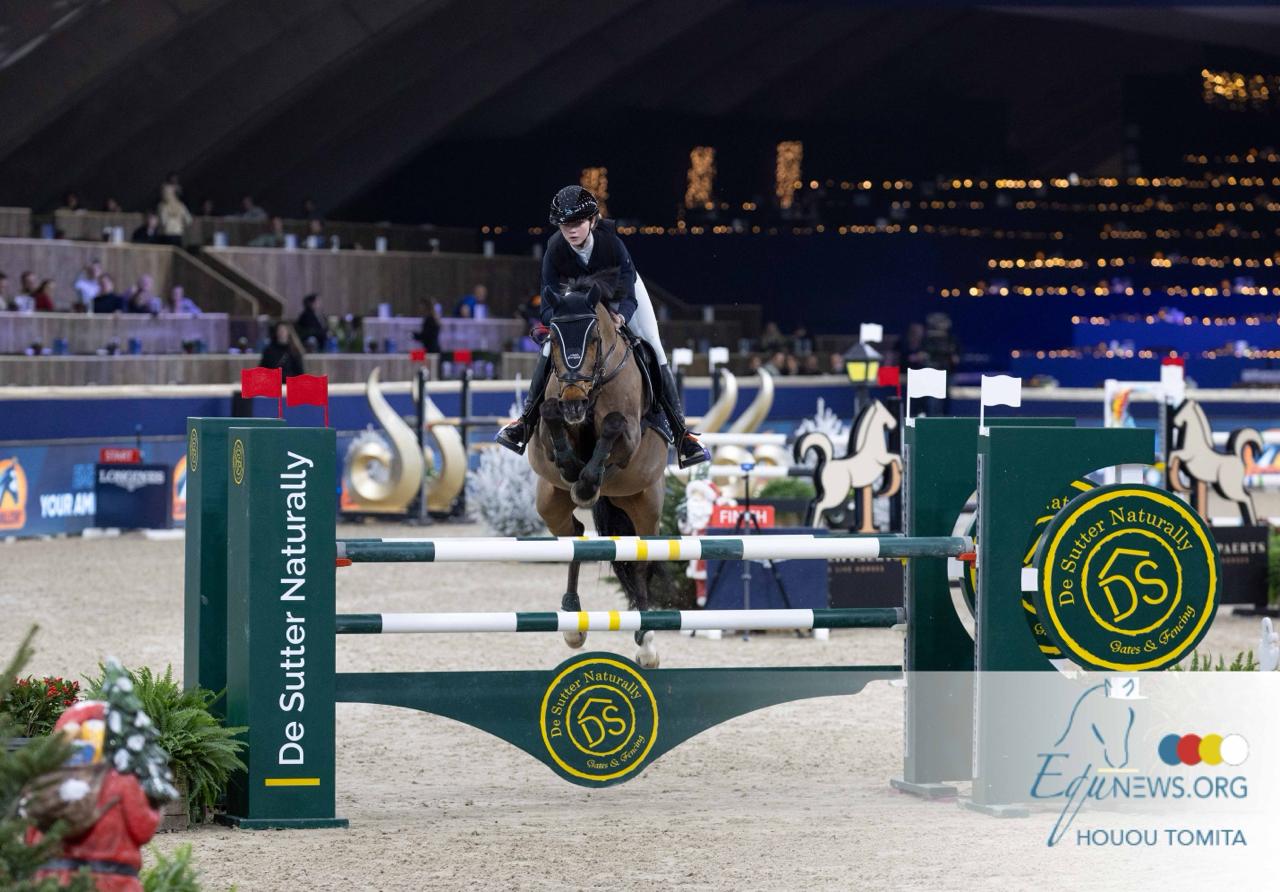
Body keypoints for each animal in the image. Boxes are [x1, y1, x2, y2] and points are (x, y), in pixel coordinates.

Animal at [527, 272, 671, 667]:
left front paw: (587, 483)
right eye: (552, 338)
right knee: (574, 537)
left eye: (593, 338)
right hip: (549, 502)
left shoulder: (631, 438)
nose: (575, 400)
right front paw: (572, 467)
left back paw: (646, 642)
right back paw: (572, 620)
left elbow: (613, 427)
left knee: (640, 562)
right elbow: (549, 413)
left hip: (646, 505)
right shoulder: (548, 427)